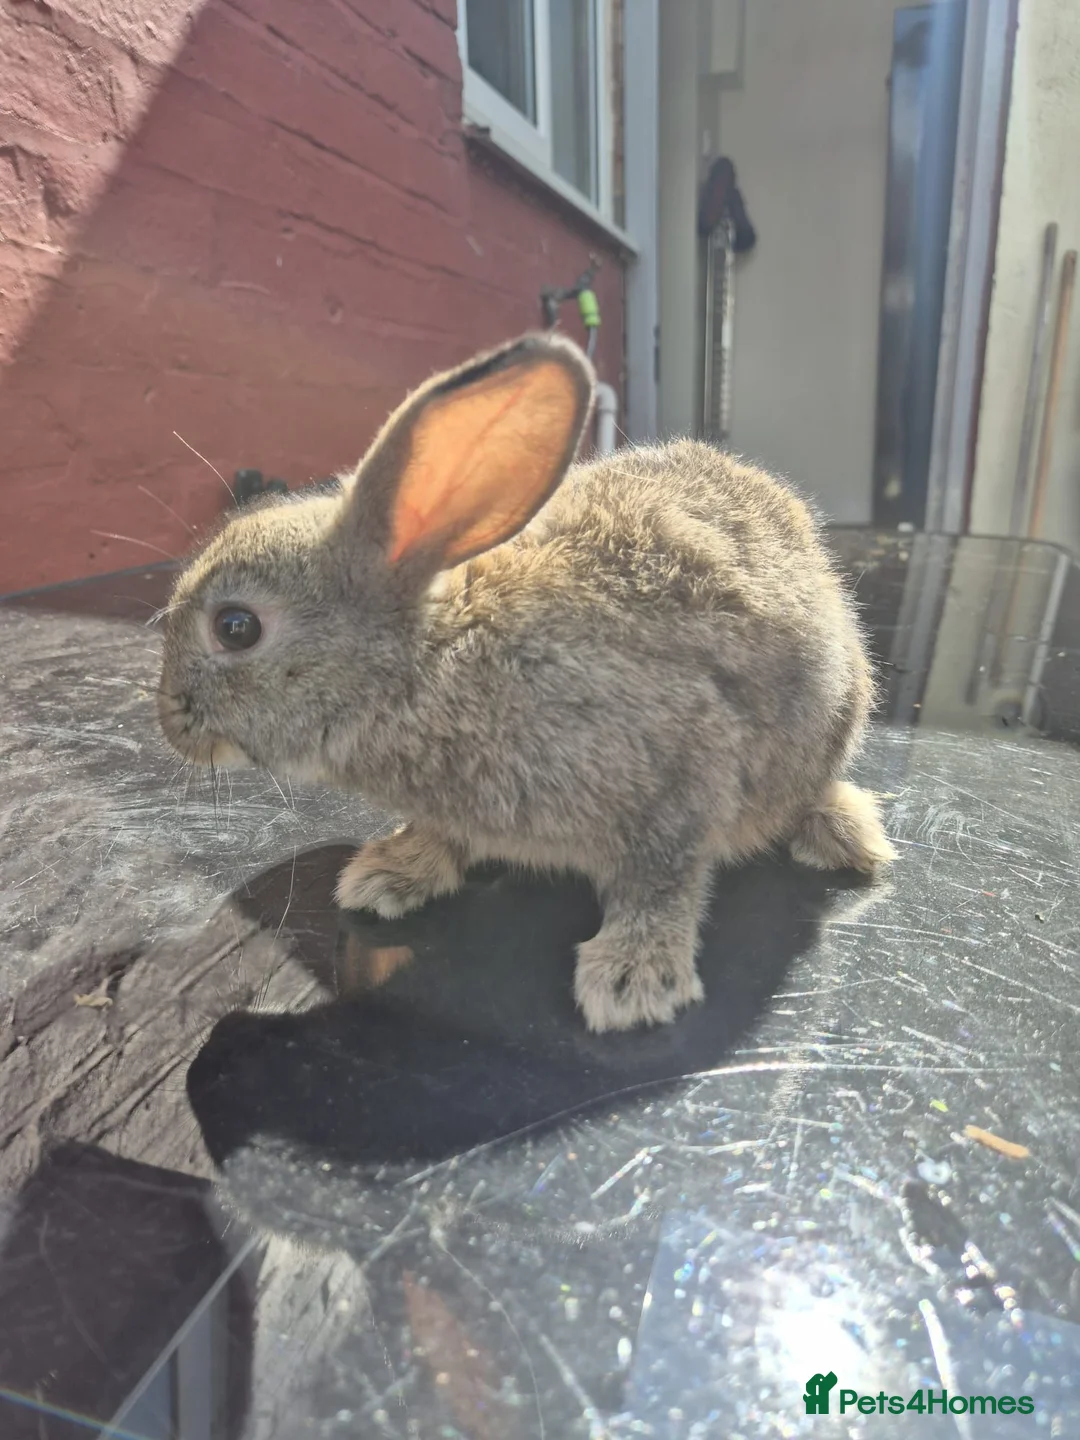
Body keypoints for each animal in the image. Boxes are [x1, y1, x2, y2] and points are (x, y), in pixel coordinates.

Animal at [158, 332, 894, 1033]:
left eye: (235, 627)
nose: (170, 721)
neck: (430, 661)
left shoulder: (680, 775)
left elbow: (662, 880)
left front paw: (631, 978)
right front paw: (388, 872)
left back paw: (843, 836)